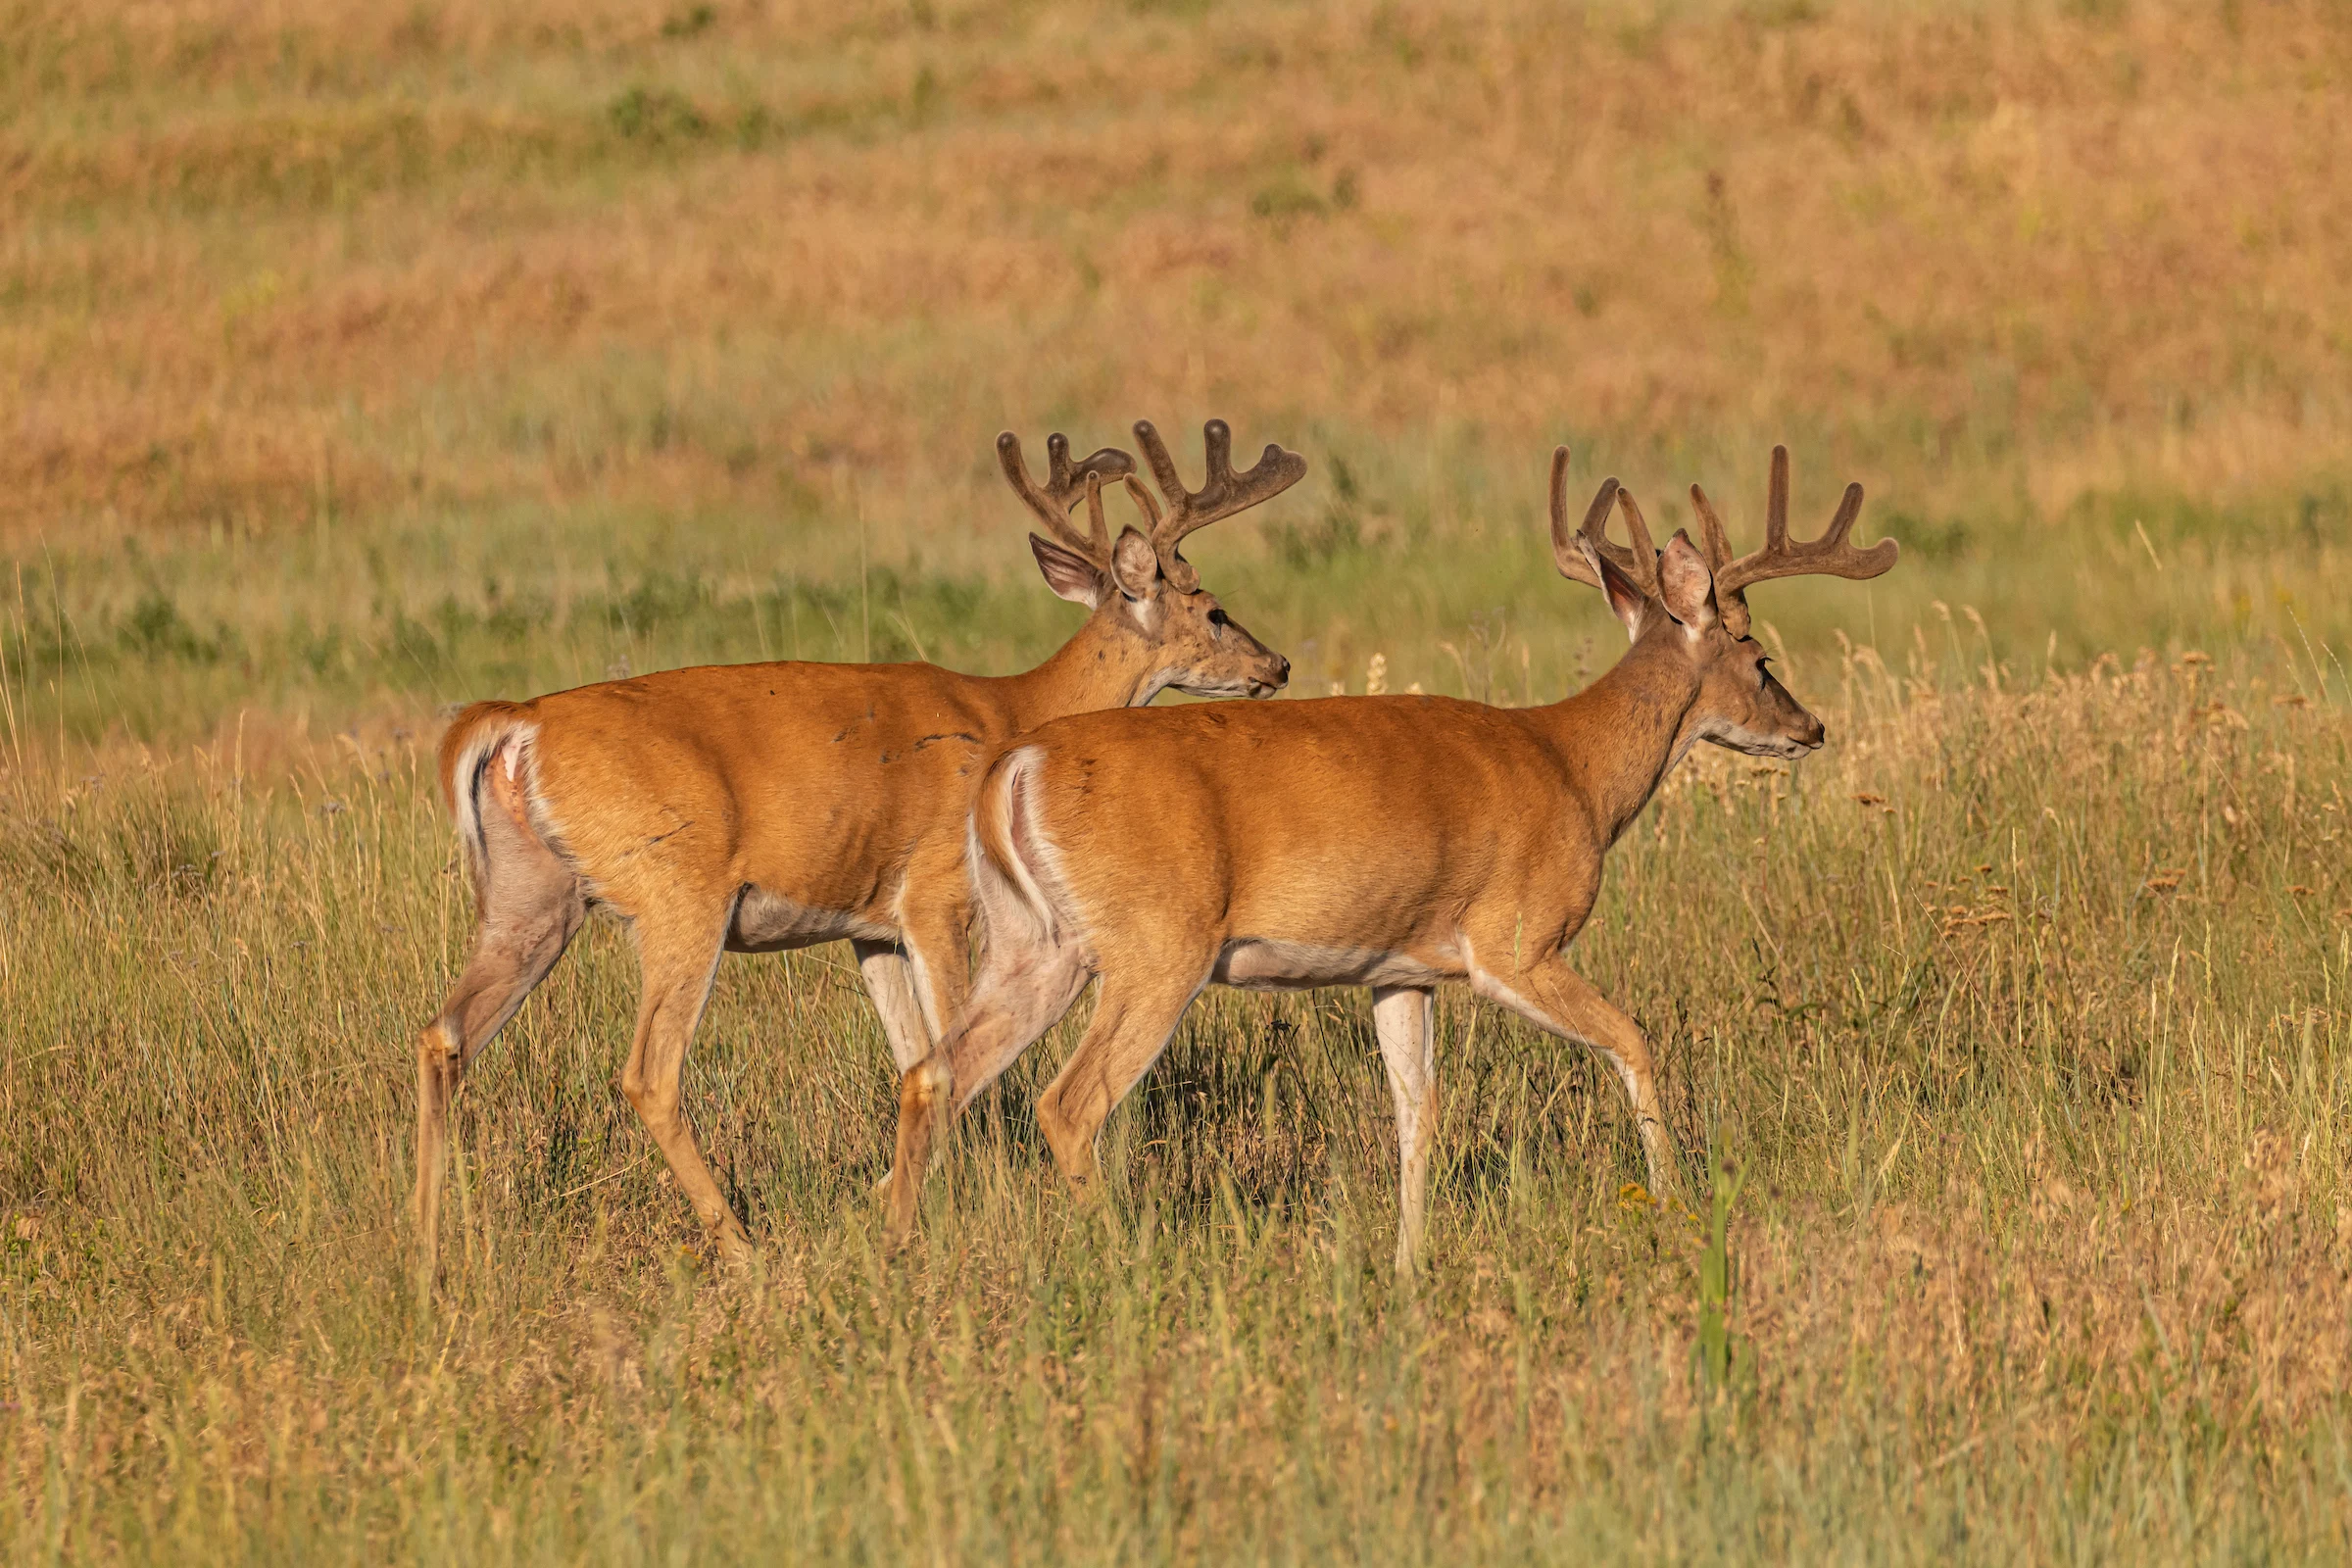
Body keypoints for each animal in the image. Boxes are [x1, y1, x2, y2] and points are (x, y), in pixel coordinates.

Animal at [423, 420, 1307, 1288]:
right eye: (1214, 609)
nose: (1279, 664)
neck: (1015, 710)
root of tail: (518, 723)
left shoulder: (870, 927)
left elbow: (913, 1056)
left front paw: (886, 1200)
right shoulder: (939, 894)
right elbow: (961, 1060)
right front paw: (981, 1202)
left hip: (533, 897)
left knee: (445, 1035)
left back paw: (427, 1241)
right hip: (678, 890)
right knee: (649, 1072)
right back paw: (741, 1247)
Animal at [889, 441, 1900, 1278]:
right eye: (1758, 656)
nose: (1810, 727)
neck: (1576, 768)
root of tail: (1015, 769)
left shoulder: (1401, 969)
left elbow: (1418, 1114)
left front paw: (1411, 1264)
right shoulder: (1515, 940)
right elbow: (1635, 1042)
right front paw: (1678, 1209)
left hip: (1037, 945)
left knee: (936, 1072)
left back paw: (899, 1249)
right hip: (1156, 945)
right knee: (1068, 1101)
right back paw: (1123, 1259)